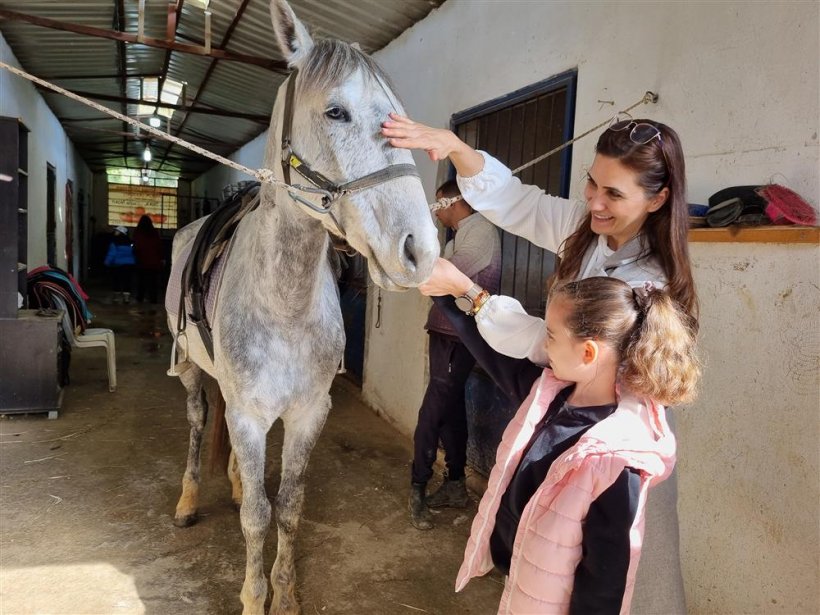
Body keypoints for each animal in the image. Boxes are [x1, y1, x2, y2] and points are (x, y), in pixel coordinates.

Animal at [163, 2, 438, 612]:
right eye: (335, 111)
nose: (421, 252)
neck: (284, 304)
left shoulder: (309, 412)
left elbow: (287, 507)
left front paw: (284, 596)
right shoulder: (246, 413)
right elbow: (256, 516)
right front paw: (252, 596)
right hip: (191, 372)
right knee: (195, 423)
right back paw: (188, 502)